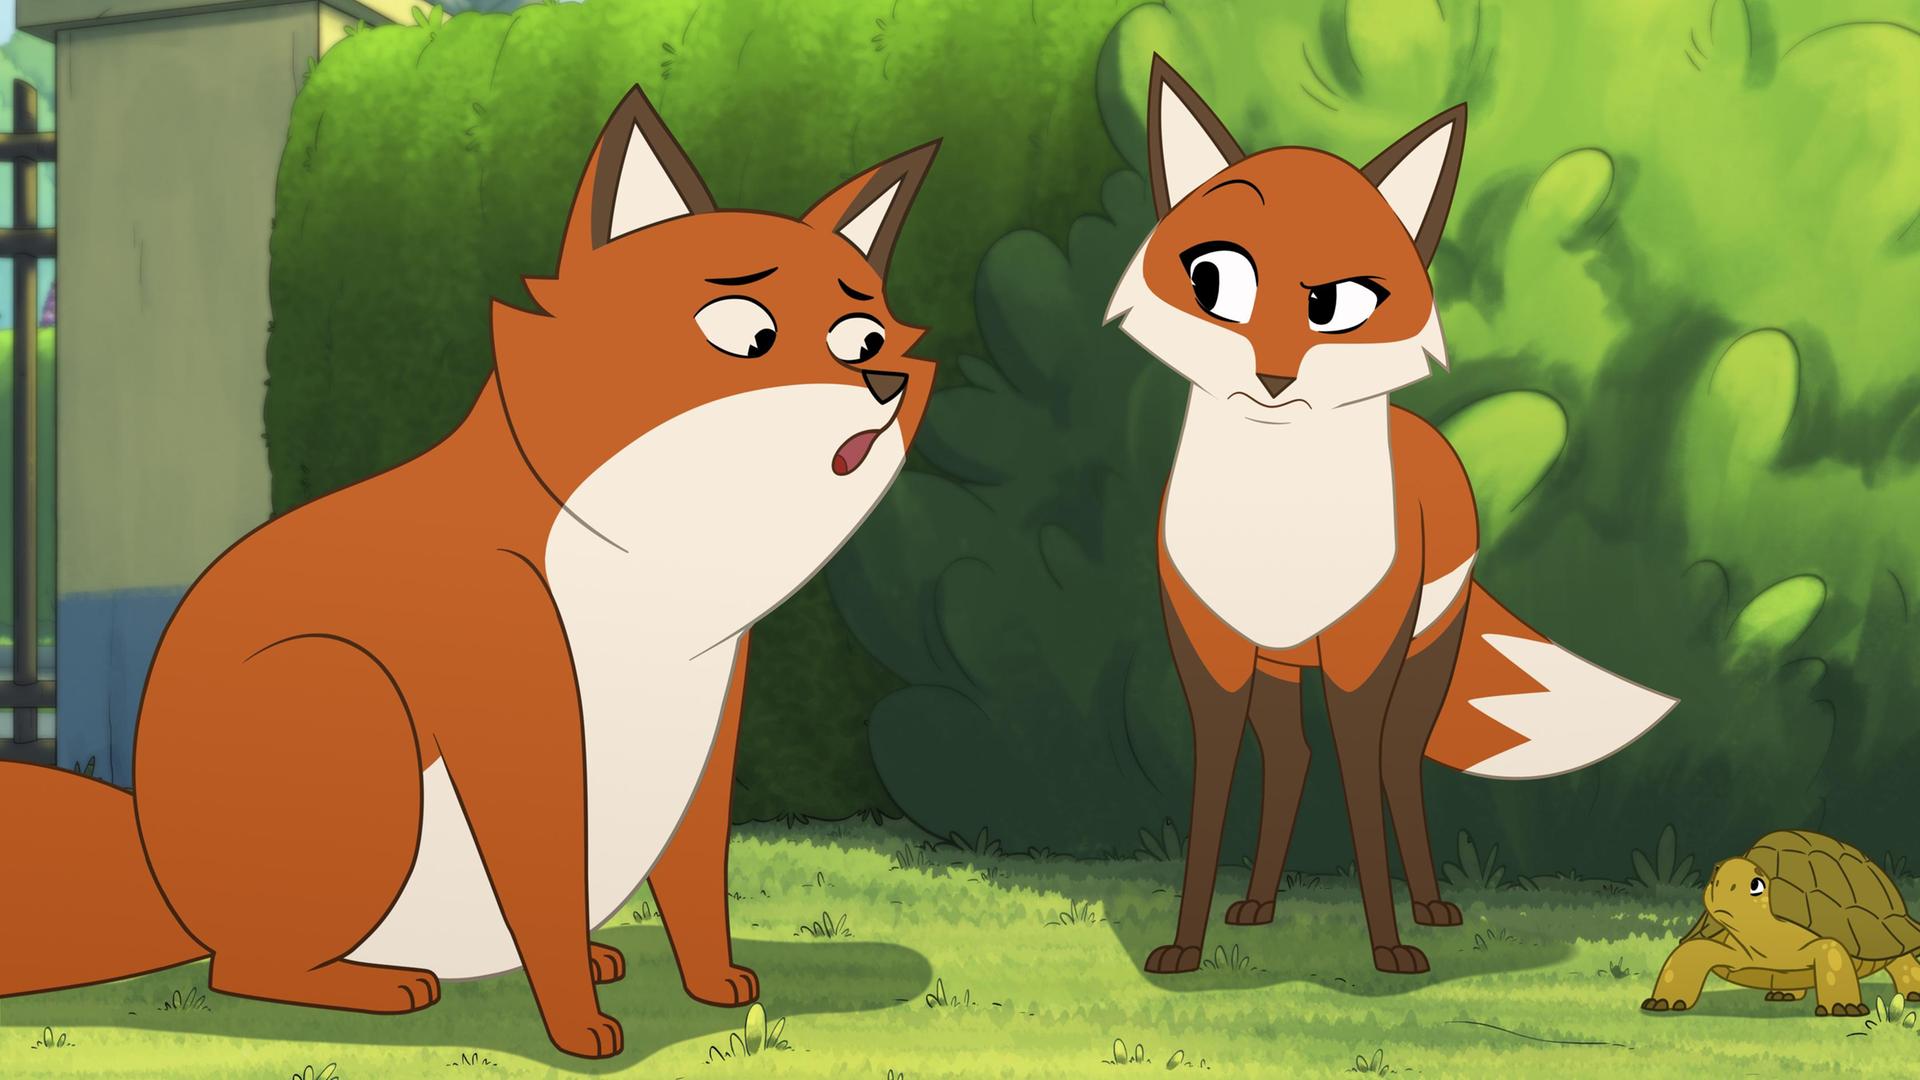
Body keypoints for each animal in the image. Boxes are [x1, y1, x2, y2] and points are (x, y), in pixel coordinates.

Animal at [0, 85, 939, 1058]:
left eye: (865, 337)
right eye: (749, 335)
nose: (879, 382)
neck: (647, 586)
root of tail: (160, 874)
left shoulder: (709, 724)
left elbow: (690, 877)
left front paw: (711, 985)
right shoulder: (514, 689)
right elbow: (546, 878)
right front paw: (578, 1030)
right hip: (347, 697)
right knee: (243, 969)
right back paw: (374, 987)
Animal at [1105, 57, 1678, 976]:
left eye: (1336, 306)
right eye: (1214, 281)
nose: (1273, 378)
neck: (1277, 516)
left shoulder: (1360, 662)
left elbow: (1363, 795)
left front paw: (1388, 948)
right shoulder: (1212, 658)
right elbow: (1209, 810)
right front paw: (1185, 948)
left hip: (1422, 658)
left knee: (1395, 768)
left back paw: (1432, 909)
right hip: (1281, 670)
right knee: (1294, 760)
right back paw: (1258, 906)